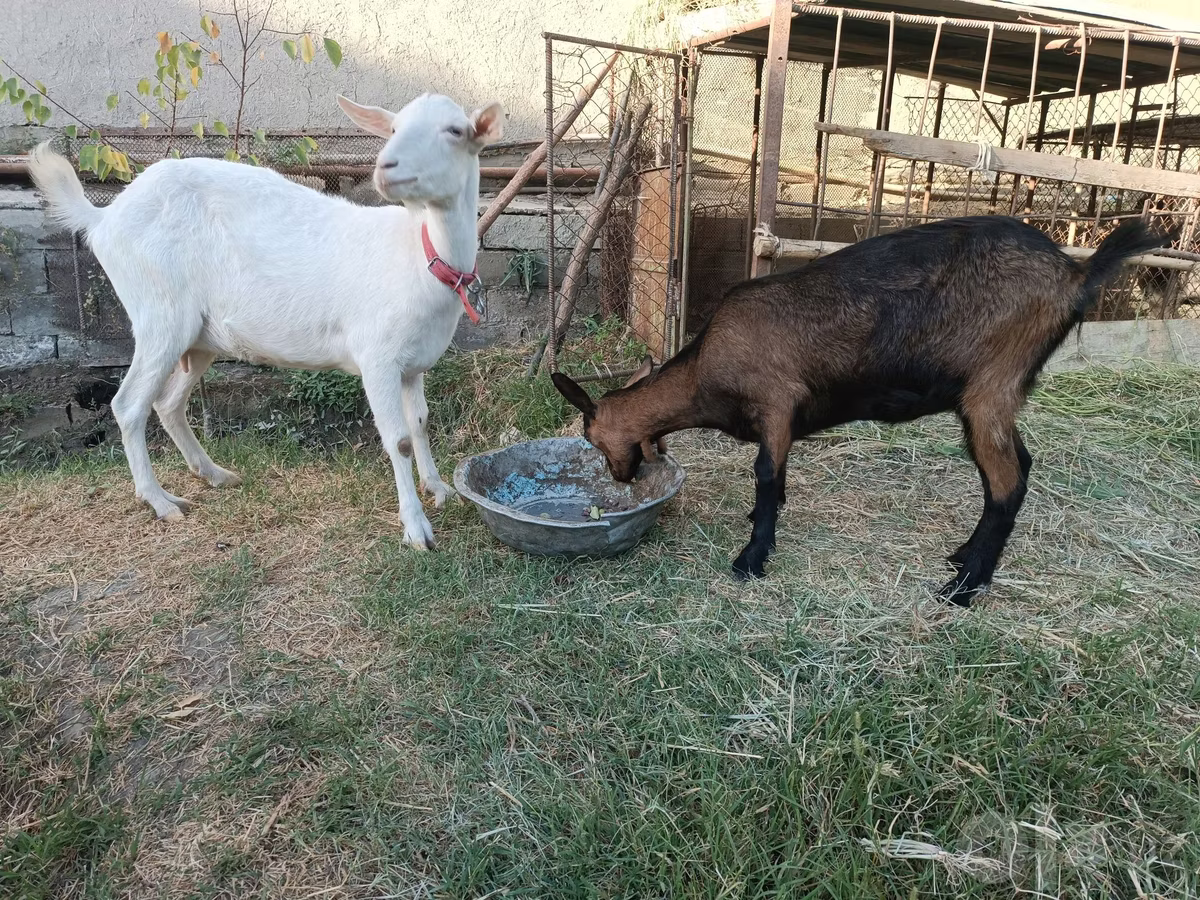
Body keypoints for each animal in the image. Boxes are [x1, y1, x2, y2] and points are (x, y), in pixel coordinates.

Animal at [28, 93, 504, 549]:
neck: (420, 254)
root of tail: (104, 216)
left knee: (168, 402)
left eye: (455, 130)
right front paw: (417, 529)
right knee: (129, 404)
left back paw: (215, 474)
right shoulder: (378, 357)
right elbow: (399, 439)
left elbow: (420, 423)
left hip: (200, 338)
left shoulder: (413, 364)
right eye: (393, 128)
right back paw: (160, 501)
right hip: (159, 314)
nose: (386, 167)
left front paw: (438, 488)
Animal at [552, 216, 1171, 605]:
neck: (705, 367)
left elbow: (768, 476)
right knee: (1017, 464)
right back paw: (961, 558)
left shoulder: (777, 402)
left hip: (991, 384)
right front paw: (755, 532)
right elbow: (774, 482)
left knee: (1007, 483)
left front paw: (752, 558)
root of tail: (1075, 274)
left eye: (591, 437)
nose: (621, 477)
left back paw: (964, 590)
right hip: (991, 396)